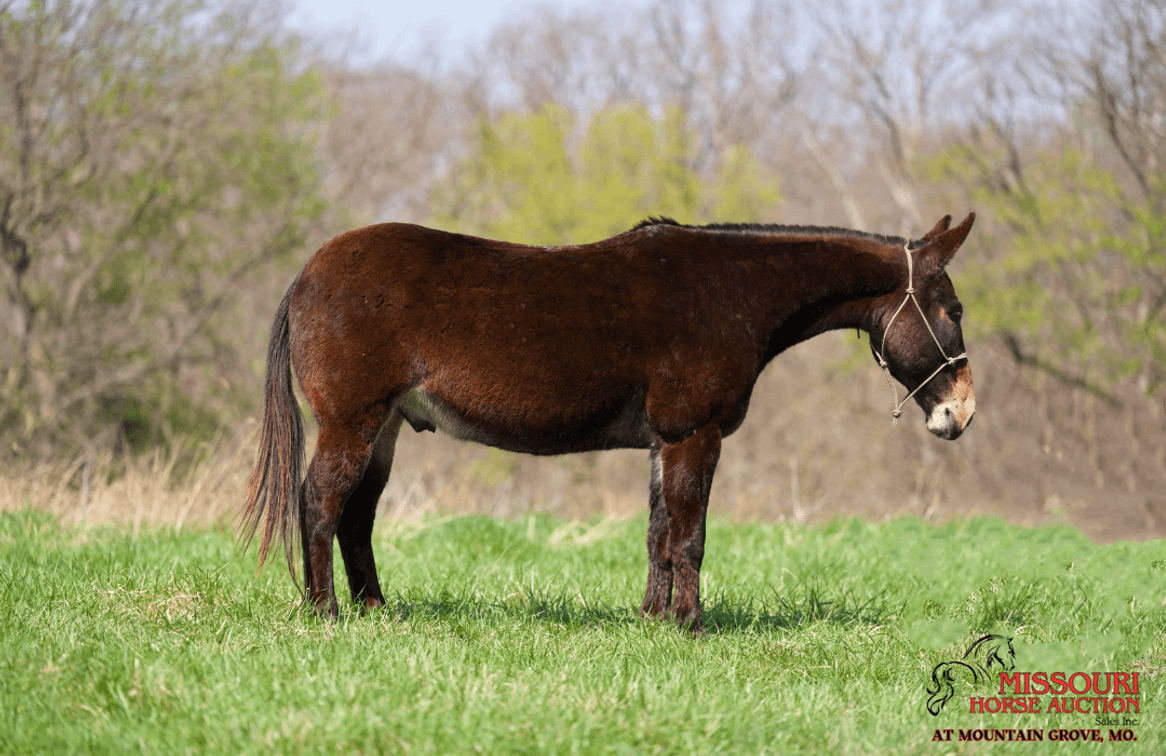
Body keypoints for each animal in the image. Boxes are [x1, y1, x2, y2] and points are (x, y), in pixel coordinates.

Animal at [241, 212, 977, 632]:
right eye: (954, 309)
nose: (961, 412)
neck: (733, 292)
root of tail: (307, 274)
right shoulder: (694, 434)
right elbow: (690, 535)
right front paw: (690, 625)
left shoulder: (664, 441)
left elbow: (659, 533)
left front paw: (652, 621)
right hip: (352, 421)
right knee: (321, 503)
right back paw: (326, 613)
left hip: (386, 426)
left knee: (358, 514)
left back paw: (372, 610)